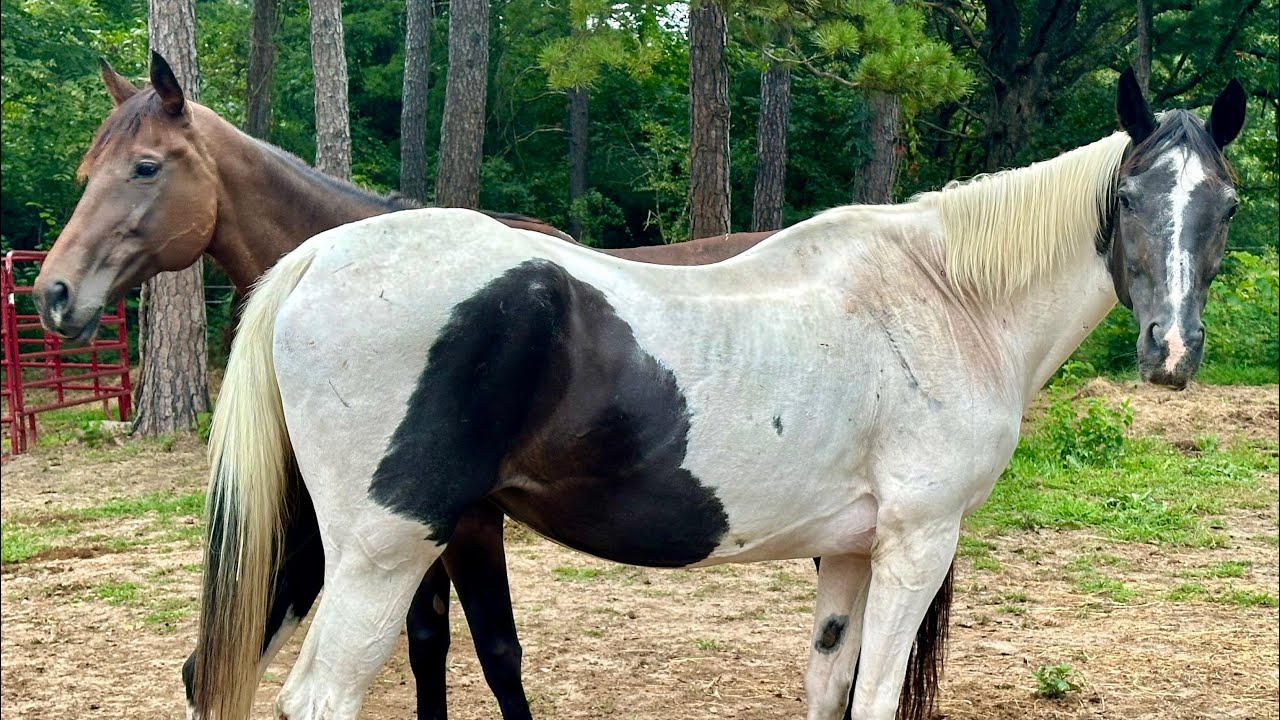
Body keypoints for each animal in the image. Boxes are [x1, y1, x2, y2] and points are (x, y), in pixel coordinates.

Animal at [31, 52, 863, 720]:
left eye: (145, 166)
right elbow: (430, 641)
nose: (52, 294)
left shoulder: (465, 524)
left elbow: (493, 651)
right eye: (84, 174)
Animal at [183, 69, 1245, 720]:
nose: (1170, 353)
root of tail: (315, 257)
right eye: (1129, 198)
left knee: (210, 676)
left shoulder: (849, 553)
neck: (947, 297)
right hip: (384, 550)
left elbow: (827, 688)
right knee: (317, 696)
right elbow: (873, 696)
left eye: (1226, 205)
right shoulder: (917, 541)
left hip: (311, 543)